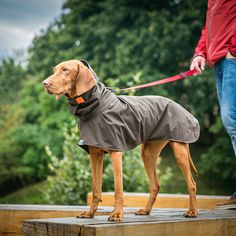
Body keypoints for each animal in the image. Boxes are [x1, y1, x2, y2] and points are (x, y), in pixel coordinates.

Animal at [42, 59, 199, 221]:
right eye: (54, 70)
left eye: (65, 70)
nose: (44, 83)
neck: (95, 105)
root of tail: (180, 106)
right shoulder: (95, 155)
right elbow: (96, 189)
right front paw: (90, 213)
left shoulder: (115, 152)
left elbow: (118, 189)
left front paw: (117, 214)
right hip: (148, 153)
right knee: (155, 185)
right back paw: (146, 210)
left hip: (180, 151)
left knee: (192, 184)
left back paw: (192, 211)